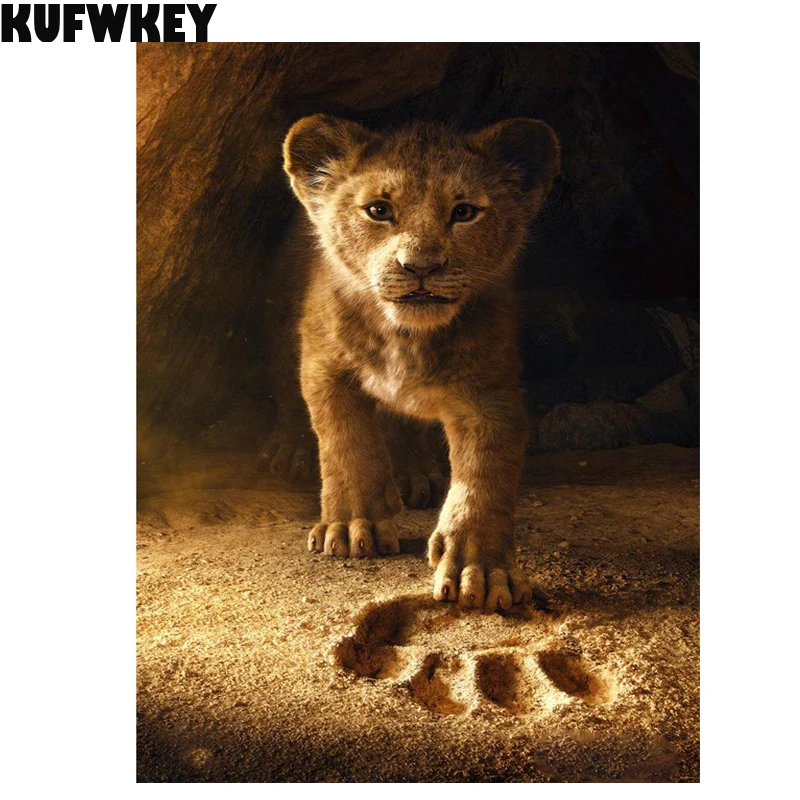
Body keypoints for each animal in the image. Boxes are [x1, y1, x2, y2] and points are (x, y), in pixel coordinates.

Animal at [277, 114, 560, 612]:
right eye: (378, 210)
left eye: (464, 212)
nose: (421, 266)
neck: (406, 336)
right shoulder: (325, 367)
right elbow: (346, 444)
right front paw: (353, 526)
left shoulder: (489, 392)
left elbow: (484, 477)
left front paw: (480, 570)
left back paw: (415, 474)